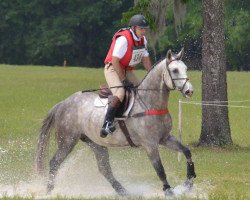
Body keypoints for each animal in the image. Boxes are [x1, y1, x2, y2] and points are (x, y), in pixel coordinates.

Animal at [34, 48, 195, 197]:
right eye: (175, 70)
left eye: (186, 68)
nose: (189, 91)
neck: (150, 104)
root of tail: (63, 103)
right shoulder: (150, 144)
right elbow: (160, 169)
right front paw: (168, 191)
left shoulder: (165, 138)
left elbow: (186, 151)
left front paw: (189, 182)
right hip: (67, 140)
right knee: (55, 162)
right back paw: (48, 191)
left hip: (95, 143)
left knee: (104, 168)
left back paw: (123, 191)